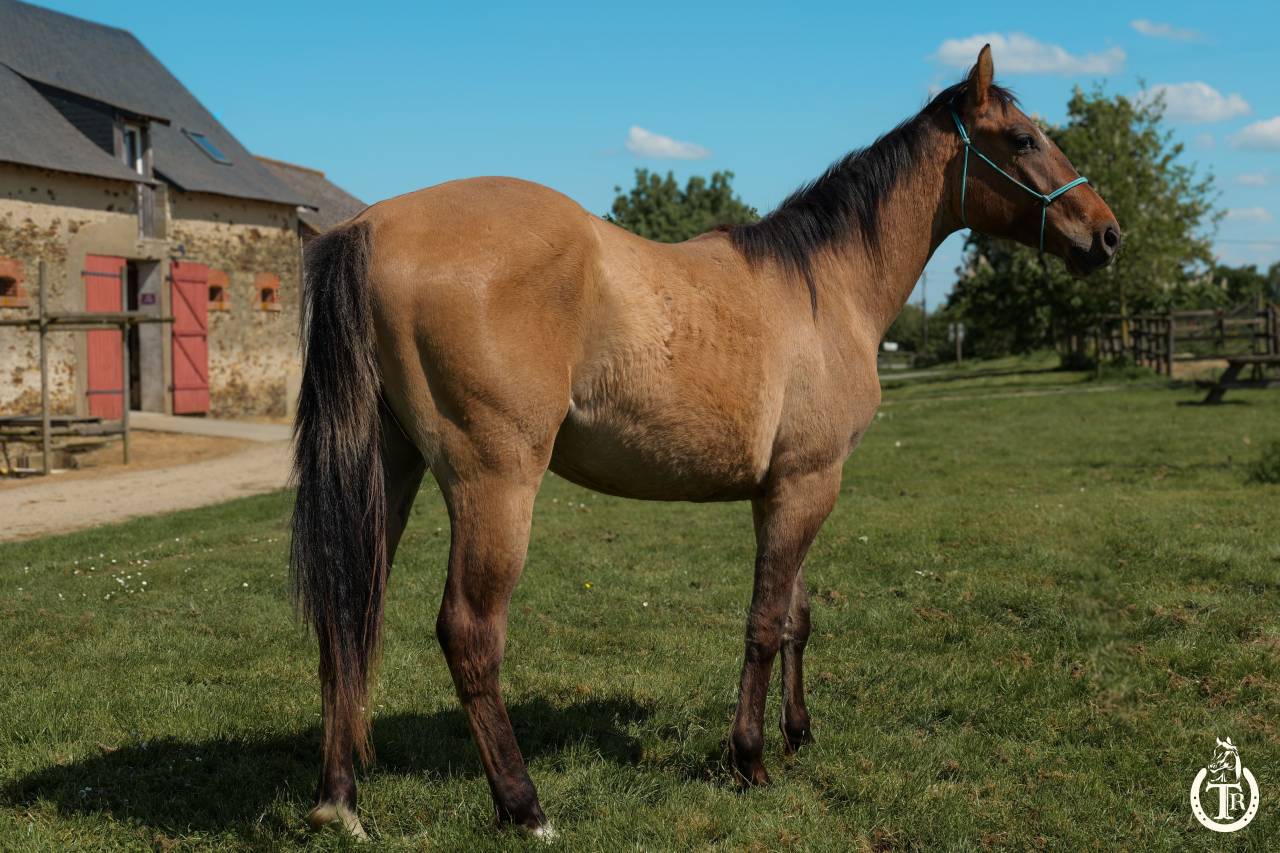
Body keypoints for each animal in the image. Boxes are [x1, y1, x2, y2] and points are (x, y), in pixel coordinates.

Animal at [290, 44, 1120, 839]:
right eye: (1024, 138)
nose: (1105, 232)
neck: (824, 286)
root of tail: (368, 227)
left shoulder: (788, 487)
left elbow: (794, 616)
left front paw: (798, 733)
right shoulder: (809, 483)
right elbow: (762, 623)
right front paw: (749, 758)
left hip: (388, 471)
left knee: (345, 615)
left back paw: (340, 802)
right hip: (495, 483)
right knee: (468, 632)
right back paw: (525, 806)